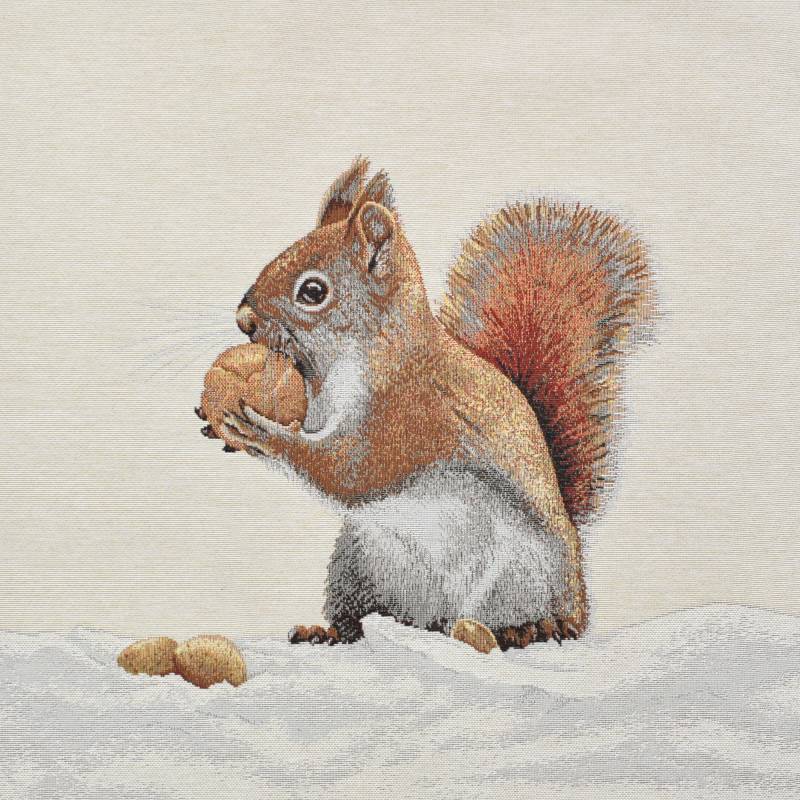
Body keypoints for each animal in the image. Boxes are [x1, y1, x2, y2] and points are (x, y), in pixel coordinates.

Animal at [214, 157, 654, 650]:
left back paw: (533, 628)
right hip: (361, 562)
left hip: (521, 576)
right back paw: (328, 631)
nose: (244, 319)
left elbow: (351, 471)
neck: (359, 356)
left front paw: (262, 432)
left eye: (313, 292)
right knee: (361, 615)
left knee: (534, 618)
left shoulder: (407, 415)